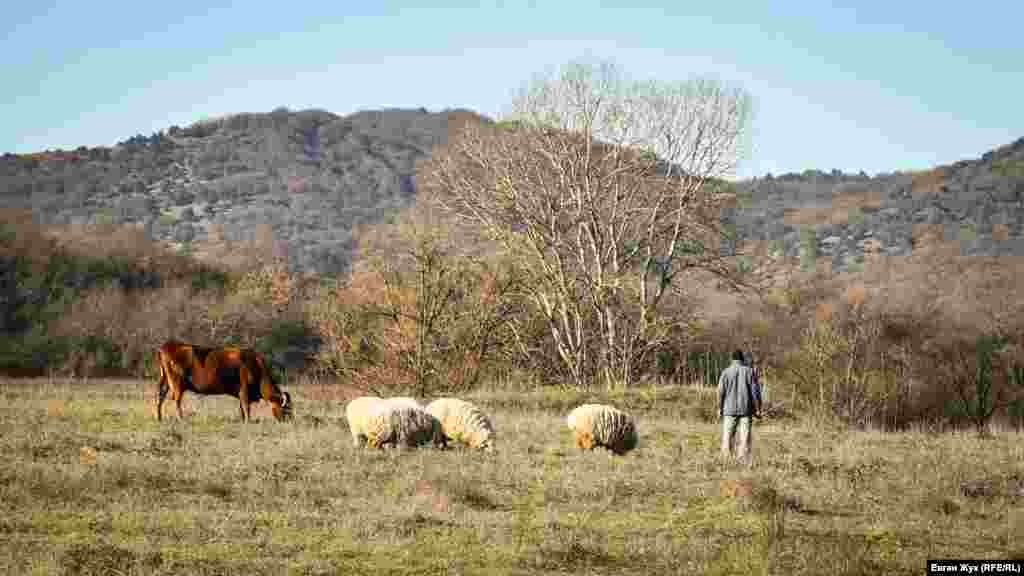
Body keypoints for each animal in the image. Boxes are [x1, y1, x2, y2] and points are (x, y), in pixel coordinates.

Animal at [155, 338, 292, 420]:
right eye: (286, 408)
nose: (290, 420)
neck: (255, 365)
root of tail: (166, 346)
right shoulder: (244, 391)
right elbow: (246, 407)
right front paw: (248, 421)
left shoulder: (241, 393)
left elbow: (242, 409)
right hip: (177, 384)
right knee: (176, 401)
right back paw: (181, 418)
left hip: (165, 382)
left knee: (160, 398)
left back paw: (159, 418)